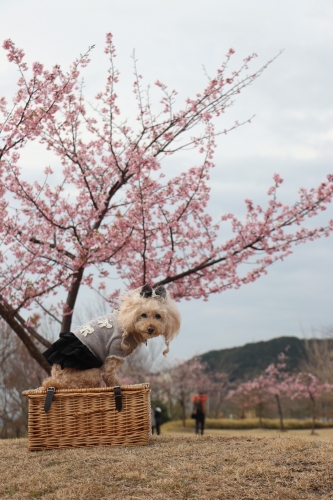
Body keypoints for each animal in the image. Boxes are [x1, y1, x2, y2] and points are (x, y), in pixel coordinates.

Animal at [43, 286, 182, 390]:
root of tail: (54, 379)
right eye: (143, 315)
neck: (128, 322)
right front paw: (119, 386)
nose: (151, 328)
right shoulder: (115, 350)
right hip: (92, 373)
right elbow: (109, 376)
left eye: (158, 316)